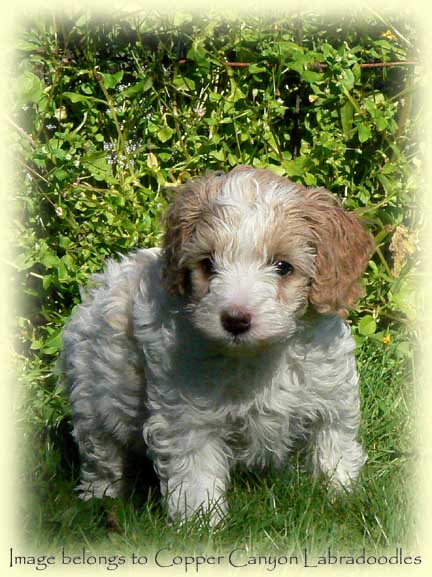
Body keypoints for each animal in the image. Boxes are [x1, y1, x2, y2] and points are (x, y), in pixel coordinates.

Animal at [60, 164, 374, 524]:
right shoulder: (187, 418)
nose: (235, 320)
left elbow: (334, 446)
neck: (260, 355)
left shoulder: (331, 396)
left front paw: (341, 497)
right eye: (208, 264)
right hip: (91, 396)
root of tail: (106, 278)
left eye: (283, 266)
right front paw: (201, 523)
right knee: (102, 455)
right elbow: (196, 473)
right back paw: (100, 498)